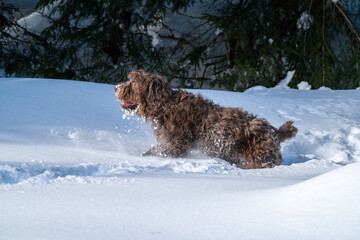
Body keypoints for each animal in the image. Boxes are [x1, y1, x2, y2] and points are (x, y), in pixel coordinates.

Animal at [115, 69, 298, 169]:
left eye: (134, 83)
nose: (116, 87)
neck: (166, 105)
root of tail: (274, 132)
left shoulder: (176, 143)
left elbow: (157, 151)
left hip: (260, 157)